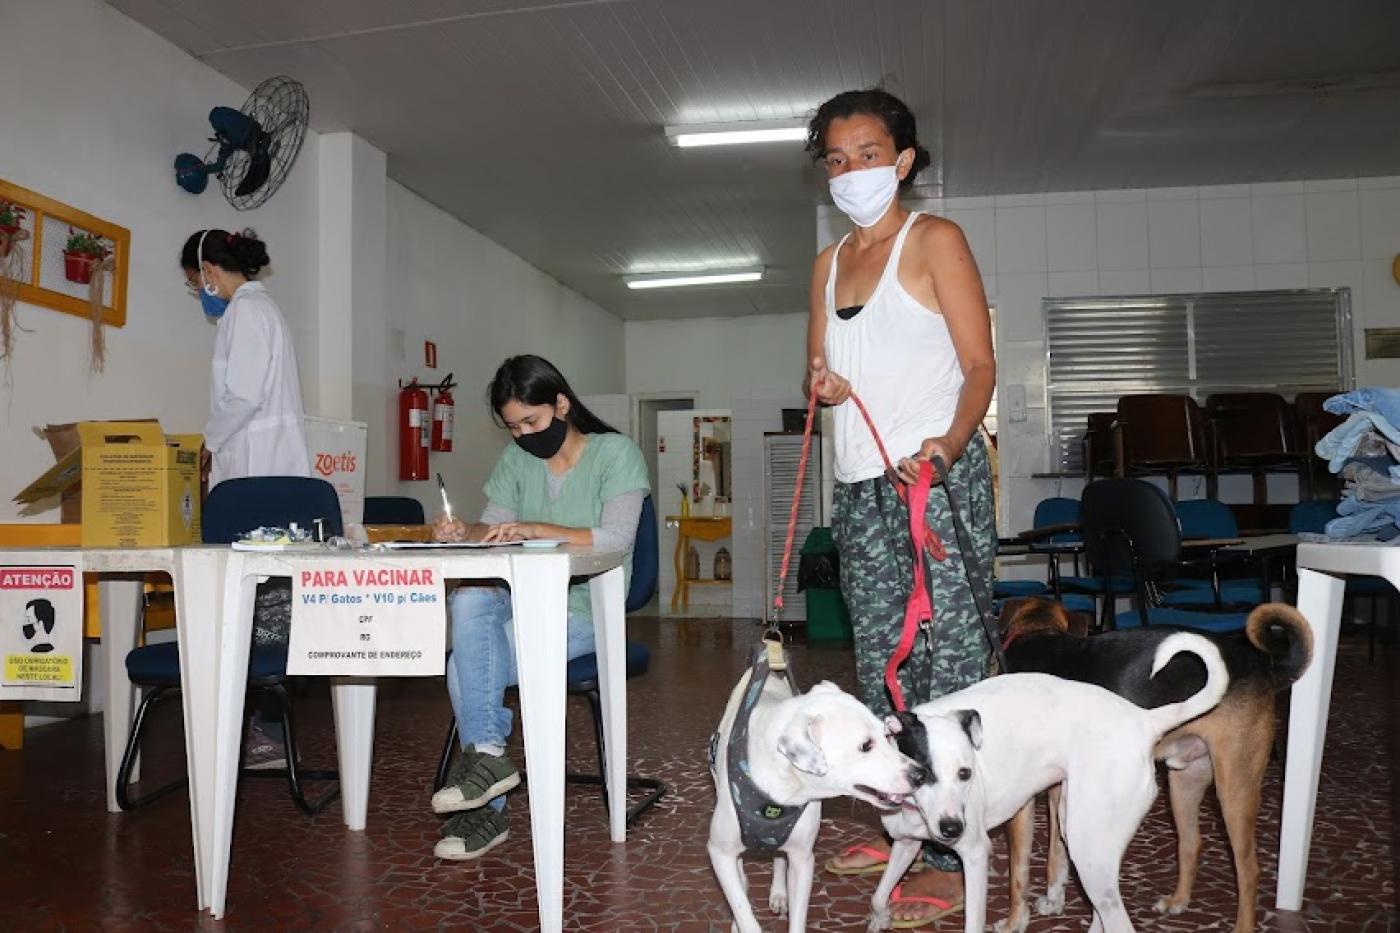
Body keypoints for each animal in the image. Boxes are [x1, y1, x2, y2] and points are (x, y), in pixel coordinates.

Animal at [1002, 596, 1304, 930]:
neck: (1037, 637)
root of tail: (1263, 669)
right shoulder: (1059, 792)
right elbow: (1057, 854)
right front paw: (1054, 900)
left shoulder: (1023, 802)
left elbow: (1018, 869)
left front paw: (1014, 921)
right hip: (1184, 782)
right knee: (1191, 843)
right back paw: (1178, 901)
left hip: (1234, 788)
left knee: (1248, 869)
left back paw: (1242, 925)